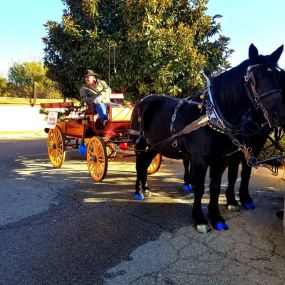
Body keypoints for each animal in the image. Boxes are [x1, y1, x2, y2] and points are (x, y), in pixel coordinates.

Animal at [130, 43, 284, 232]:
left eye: (278, 76)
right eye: (254, 78)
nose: (280, 115)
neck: (212, 116)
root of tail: (142, 101)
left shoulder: (222, 159)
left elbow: (216, 187)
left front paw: (216, 217)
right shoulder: (199, 160)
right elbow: (200, 188)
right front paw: (200, 220)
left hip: (156, 145)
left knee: (145, 164)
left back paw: (145, 188)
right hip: (141, 142)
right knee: (139, 165)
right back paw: (138, 191)